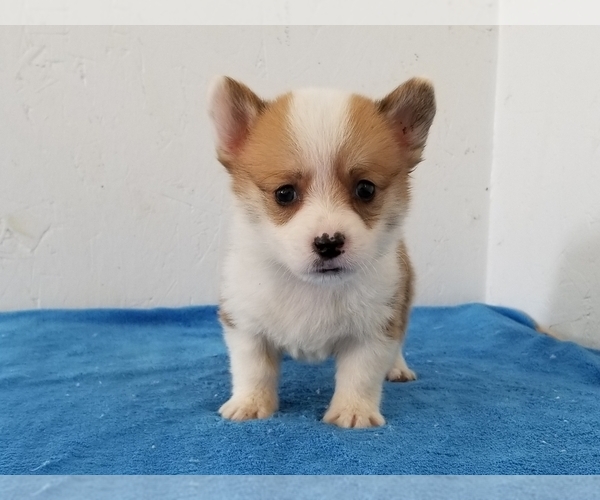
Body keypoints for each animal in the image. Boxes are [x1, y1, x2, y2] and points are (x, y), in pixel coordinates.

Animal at [209, 76, 434, 428]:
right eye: (284, 193)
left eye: (365, 189)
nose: (329, 242)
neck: (312, 288)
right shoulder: (245, 324)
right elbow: (253, 370)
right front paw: (250, 404)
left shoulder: (374, 330)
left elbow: (360, 375)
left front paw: (353, 411)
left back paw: (397, 368)